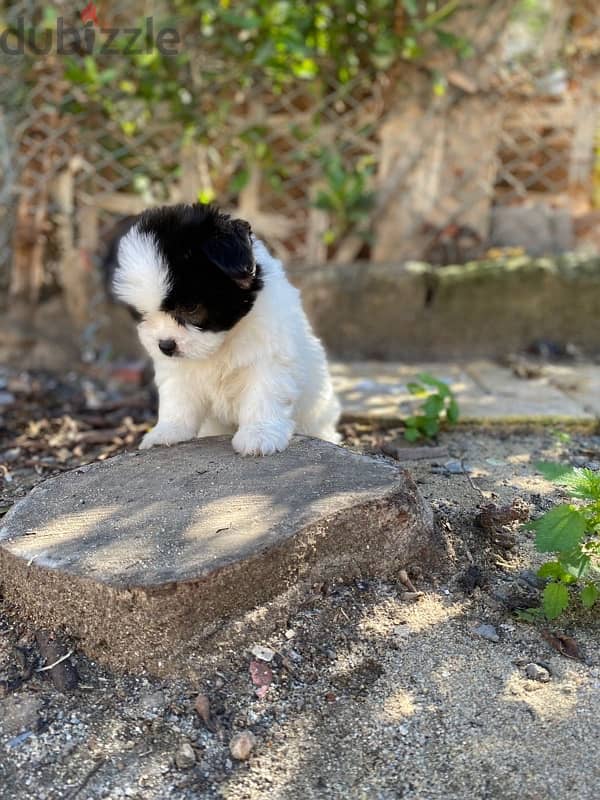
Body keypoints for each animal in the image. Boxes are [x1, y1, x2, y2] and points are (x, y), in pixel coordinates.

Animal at [110, 205, 340, 456]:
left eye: (190, 308)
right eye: (142, 314)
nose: (165, 345)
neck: (223, 342)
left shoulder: (269, 356)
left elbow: (264, 392)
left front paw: (259, 434)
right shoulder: (177, 368)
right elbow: (177, 396)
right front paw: (169, 430)